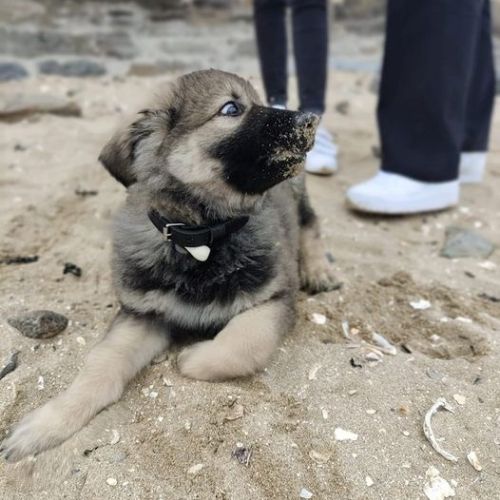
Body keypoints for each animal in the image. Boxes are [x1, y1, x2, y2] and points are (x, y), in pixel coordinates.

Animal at [1, 69, 337, 462]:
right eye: (231, 108)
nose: (310, 120)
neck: (200, 239)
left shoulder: (273, 298)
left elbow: (241, 344)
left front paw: (190, 357)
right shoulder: (142, 314)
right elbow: (100, 364)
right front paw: (50, 421)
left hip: (298, 193)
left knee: (311, 224)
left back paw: (319, 270)